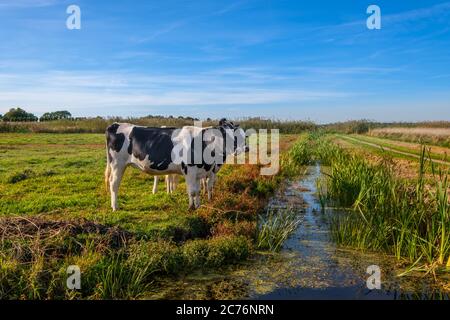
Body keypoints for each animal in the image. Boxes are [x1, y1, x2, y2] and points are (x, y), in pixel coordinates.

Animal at [104, 119, 246, 211]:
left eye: (243, 136)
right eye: (227, 136)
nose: (246, 148)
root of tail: (115, 124)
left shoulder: (200, 172)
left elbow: (198, 190)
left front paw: (198, 206)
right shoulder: (189, 171)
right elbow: (192, 191)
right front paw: (191, 208)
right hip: (117, 164)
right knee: (114, 184)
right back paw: (115, 207)